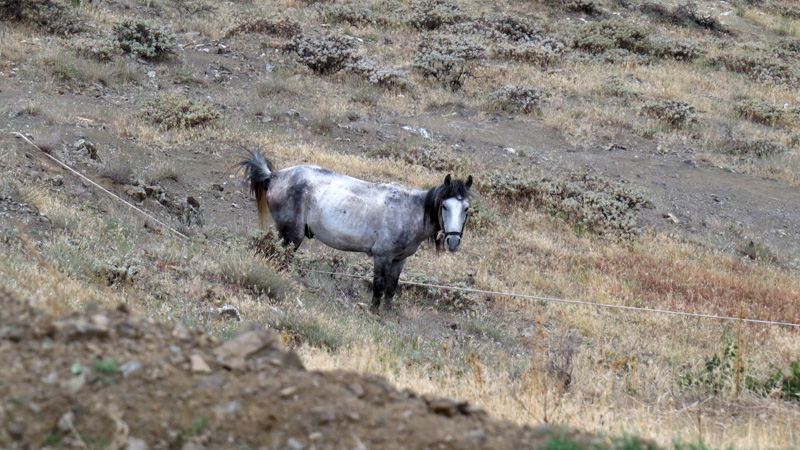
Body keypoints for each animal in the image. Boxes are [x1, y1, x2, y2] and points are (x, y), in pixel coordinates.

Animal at [239, 153, 476, 312]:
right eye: (444, 206)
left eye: (466, 208)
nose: (453, 242)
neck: (407, 211)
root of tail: (274, 175)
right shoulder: (382, 256)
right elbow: (379, 287)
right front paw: (374, 313)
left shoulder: (400, 259)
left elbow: (391, 288)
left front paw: (386, 315)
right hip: (292, 235)